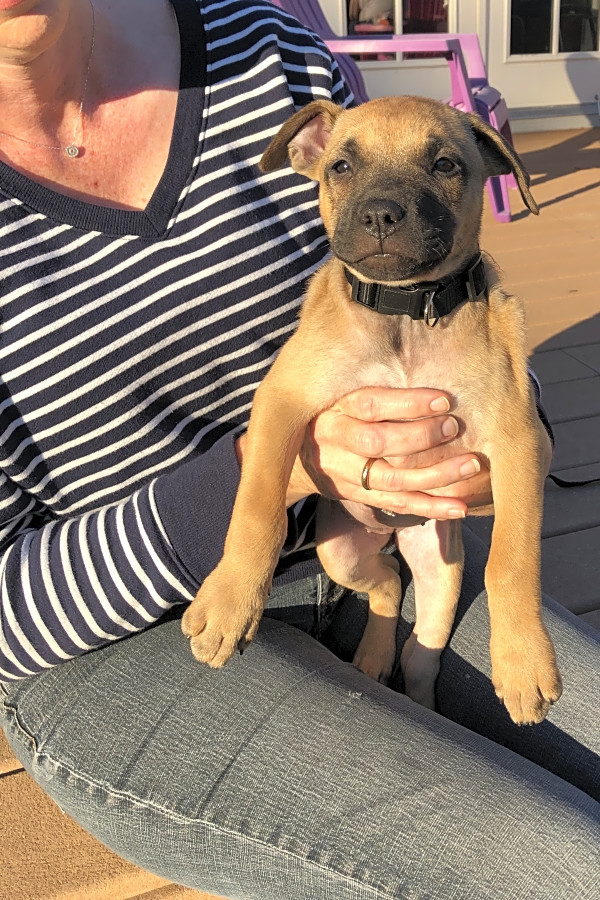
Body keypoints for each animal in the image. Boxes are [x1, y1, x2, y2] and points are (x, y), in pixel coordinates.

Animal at [182, 93, 564, 724]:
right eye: (341, 166)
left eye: (445, 164)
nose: (382, 215)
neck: (405, 315)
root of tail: (394, 532)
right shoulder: (282, 402)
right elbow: (257, 509)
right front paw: (230, 603)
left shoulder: (520, 443)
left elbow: (512, 558)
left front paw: (523, 662)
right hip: (341, 553)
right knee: (384, 581)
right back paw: (371, 654)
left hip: (440, 573)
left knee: (419, 642)